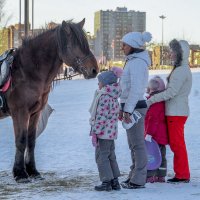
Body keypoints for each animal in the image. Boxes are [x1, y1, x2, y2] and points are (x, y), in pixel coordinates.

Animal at [0, 18, 98, 183]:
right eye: (74, 45)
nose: (94, 70)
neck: (26, 72)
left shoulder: (34, 113)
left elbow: (31, 141)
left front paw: (32, 171)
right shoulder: (20, 113)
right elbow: (21, 141)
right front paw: (20, 174)